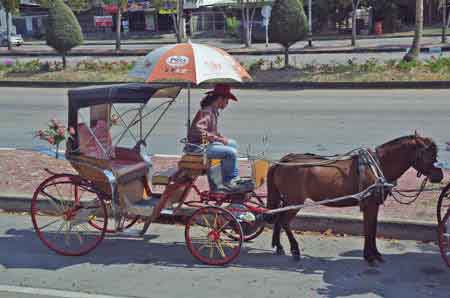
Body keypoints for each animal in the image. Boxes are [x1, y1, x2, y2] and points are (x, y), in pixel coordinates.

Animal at [268, 134, 442, 264]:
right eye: (429, 154)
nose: (439, 175)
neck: (377, 166)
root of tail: (283, 161)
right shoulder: (370, 204)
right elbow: (369, 230)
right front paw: (370, 256)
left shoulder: (373, 205)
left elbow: (371, 229)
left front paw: (374, 254)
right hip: (295, 201)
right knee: (284, 222)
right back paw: (295, 249)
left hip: (287, 201)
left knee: (278, 219)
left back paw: (279, 246)